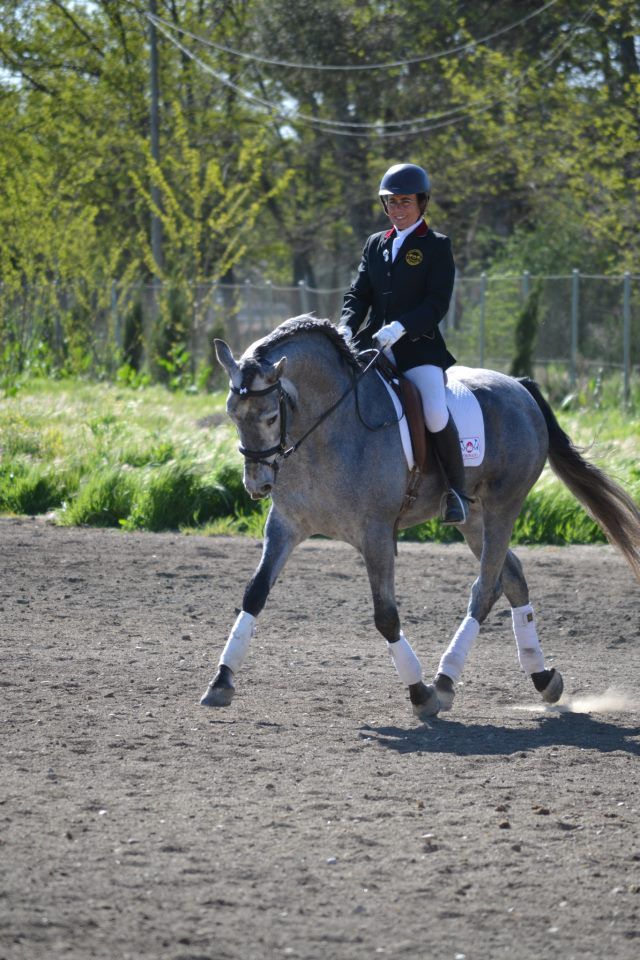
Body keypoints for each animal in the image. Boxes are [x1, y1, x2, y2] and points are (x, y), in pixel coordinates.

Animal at [200, 316, 640, 719]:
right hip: (473, 518)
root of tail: (519, 387)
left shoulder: (376, 534)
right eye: (232, 414)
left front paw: (420, 693)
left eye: (271, 416)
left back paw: (445, 681)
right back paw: (542, 678)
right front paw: (221, 681)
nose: (257, 484)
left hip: (504, 506)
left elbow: (385, 616)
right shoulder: (285, 525)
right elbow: (254, 594)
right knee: (511, 577)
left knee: (485, 589)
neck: (325, 430)